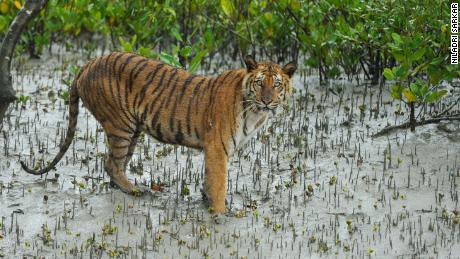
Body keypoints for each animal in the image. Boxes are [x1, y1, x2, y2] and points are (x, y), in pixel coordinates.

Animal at [20, 51, 294, 214]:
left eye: (277, 85)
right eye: (260, 83)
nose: (268, 101)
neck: (254, 111)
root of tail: (87, 63)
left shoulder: (214, 151)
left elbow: (209, 181)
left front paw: (206, 202)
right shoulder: (217, 148)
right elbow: (219, 185)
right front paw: (220, 214)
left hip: (133, 131)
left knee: (114, 164)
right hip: (121, 126)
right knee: (110, 163)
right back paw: (134, 190)